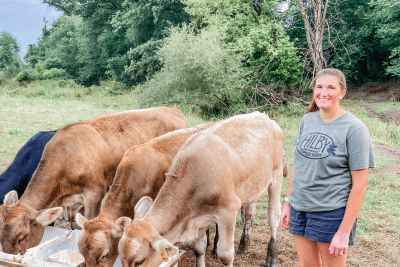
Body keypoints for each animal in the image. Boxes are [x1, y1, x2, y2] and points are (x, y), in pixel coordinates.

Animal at [114, 112, 286, 267]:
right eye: (121, 258)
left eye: (139, 261)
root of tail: (264, 116)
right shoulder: (198, 218)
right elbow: (199, 249)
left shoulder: (229, 210)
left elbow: (226, 256)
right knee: (250, 213)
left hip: (276, 178)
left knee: (273, 217)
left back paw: (272, 257)